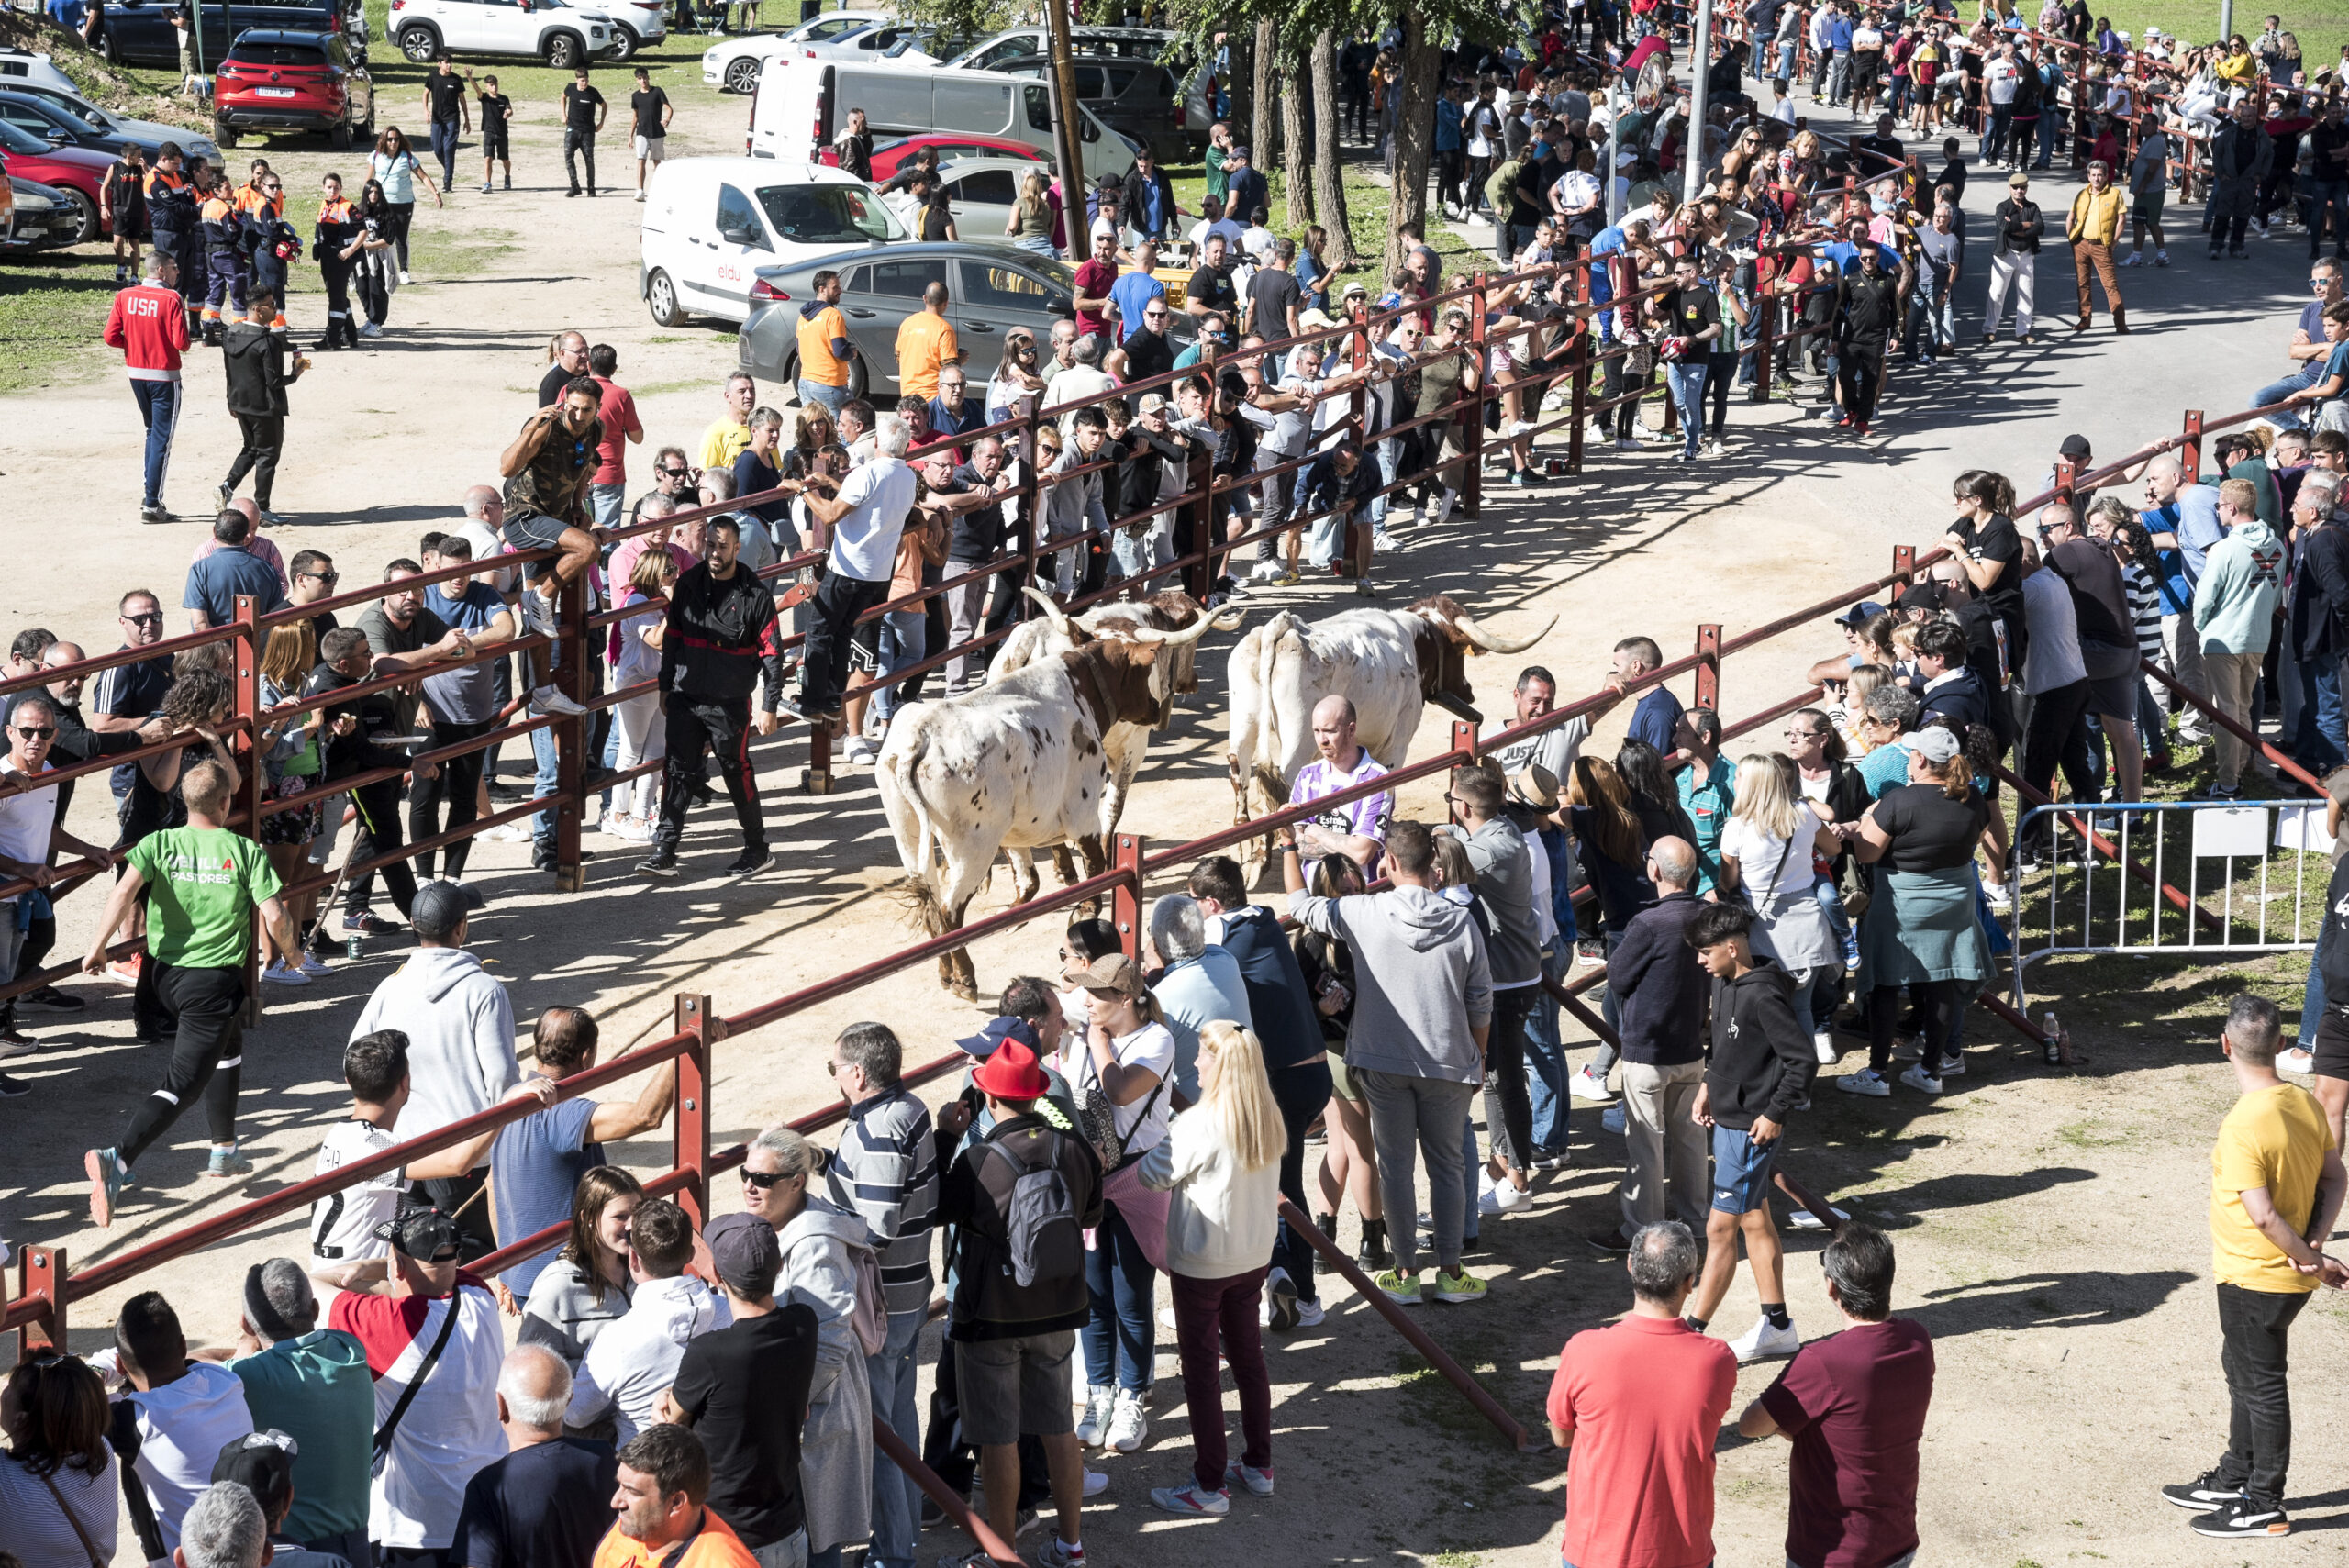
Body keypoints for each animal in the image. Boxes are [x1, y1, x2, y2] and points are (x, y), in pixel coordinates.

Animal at [878, 606, 1230, 999]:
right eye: (1144, 672)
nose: (1156, 710)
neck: (1077, 688)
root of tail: (920, 735)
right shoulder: (1082, 814)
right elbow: (1094, 866)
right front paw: (1086, 909)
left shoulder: (1015, 829)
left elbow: (1029, 877)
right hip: (971, 847)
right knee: (949, 911)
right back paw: (964, 978)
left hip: (909, 834)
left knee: (930, 906)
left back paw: (944, 973)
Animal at [1221, 595, 1550, 877]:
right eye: (1458, 653)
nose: (1468, 690)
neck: (1413, 641)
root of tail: (1282, 627)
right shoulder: (1396, 744)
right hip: (1299, 735)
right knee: (1279, 784)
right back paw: (1261, 859)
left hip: (1244, 722)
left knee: (1240, 774)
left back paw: (1247, 854)